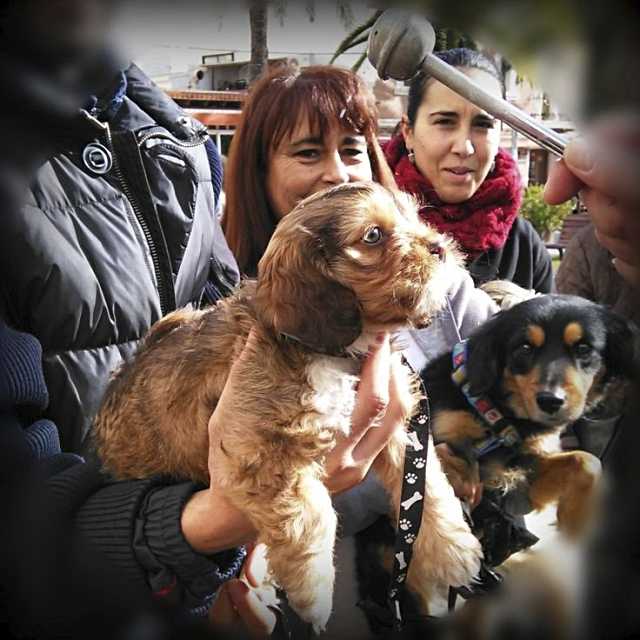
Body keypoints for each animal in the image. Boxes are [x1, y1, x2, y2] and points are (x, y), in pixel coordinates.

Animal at [94, 182, 480, 632]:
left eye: (414, 217)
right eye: (373, 236)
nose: (439, 247)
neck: (337, 351)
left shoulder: (402, 431)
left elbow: (426, 487)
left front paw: (455, 551)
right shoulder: (259, 450)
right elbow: (313, 515)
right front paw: (314, 593)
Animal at [422, 294, 636, 552]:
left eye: (584, 348)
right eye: (525, 348)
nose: (551, 401)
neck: (499, 413)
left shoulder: (523, 471)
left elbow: (586, 460)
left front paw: (574, 521)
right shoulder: (444, 433)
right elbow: (452, 464)